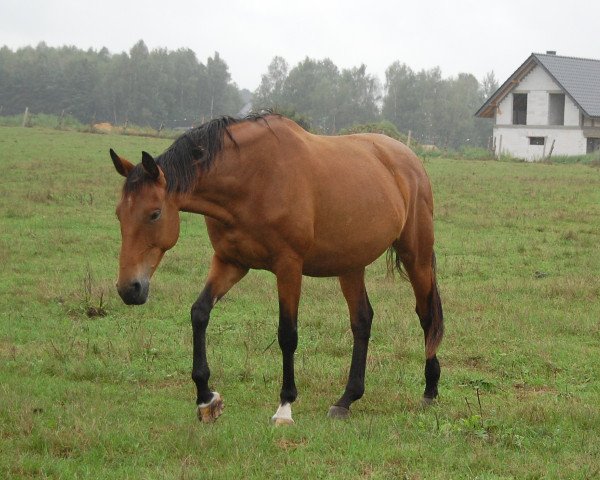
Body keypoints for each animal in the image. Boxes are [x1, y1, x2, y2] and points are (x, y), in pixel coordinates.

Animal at [110, 114, 442, 426]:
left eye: (154, 214)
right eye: (119, 214)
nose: (129, 289)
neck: (253, 178)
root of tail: (409, 159)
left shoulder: (288, 266)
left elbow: (287, 333)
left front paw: (285, 407)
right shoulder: (230, 262)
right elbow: (199, 313)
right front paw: (206, 399)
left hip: (416, 255)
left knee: (426, 317)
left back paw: (429, 391)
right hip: (350, 265)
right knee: (362, 321)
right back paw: (346, 399)